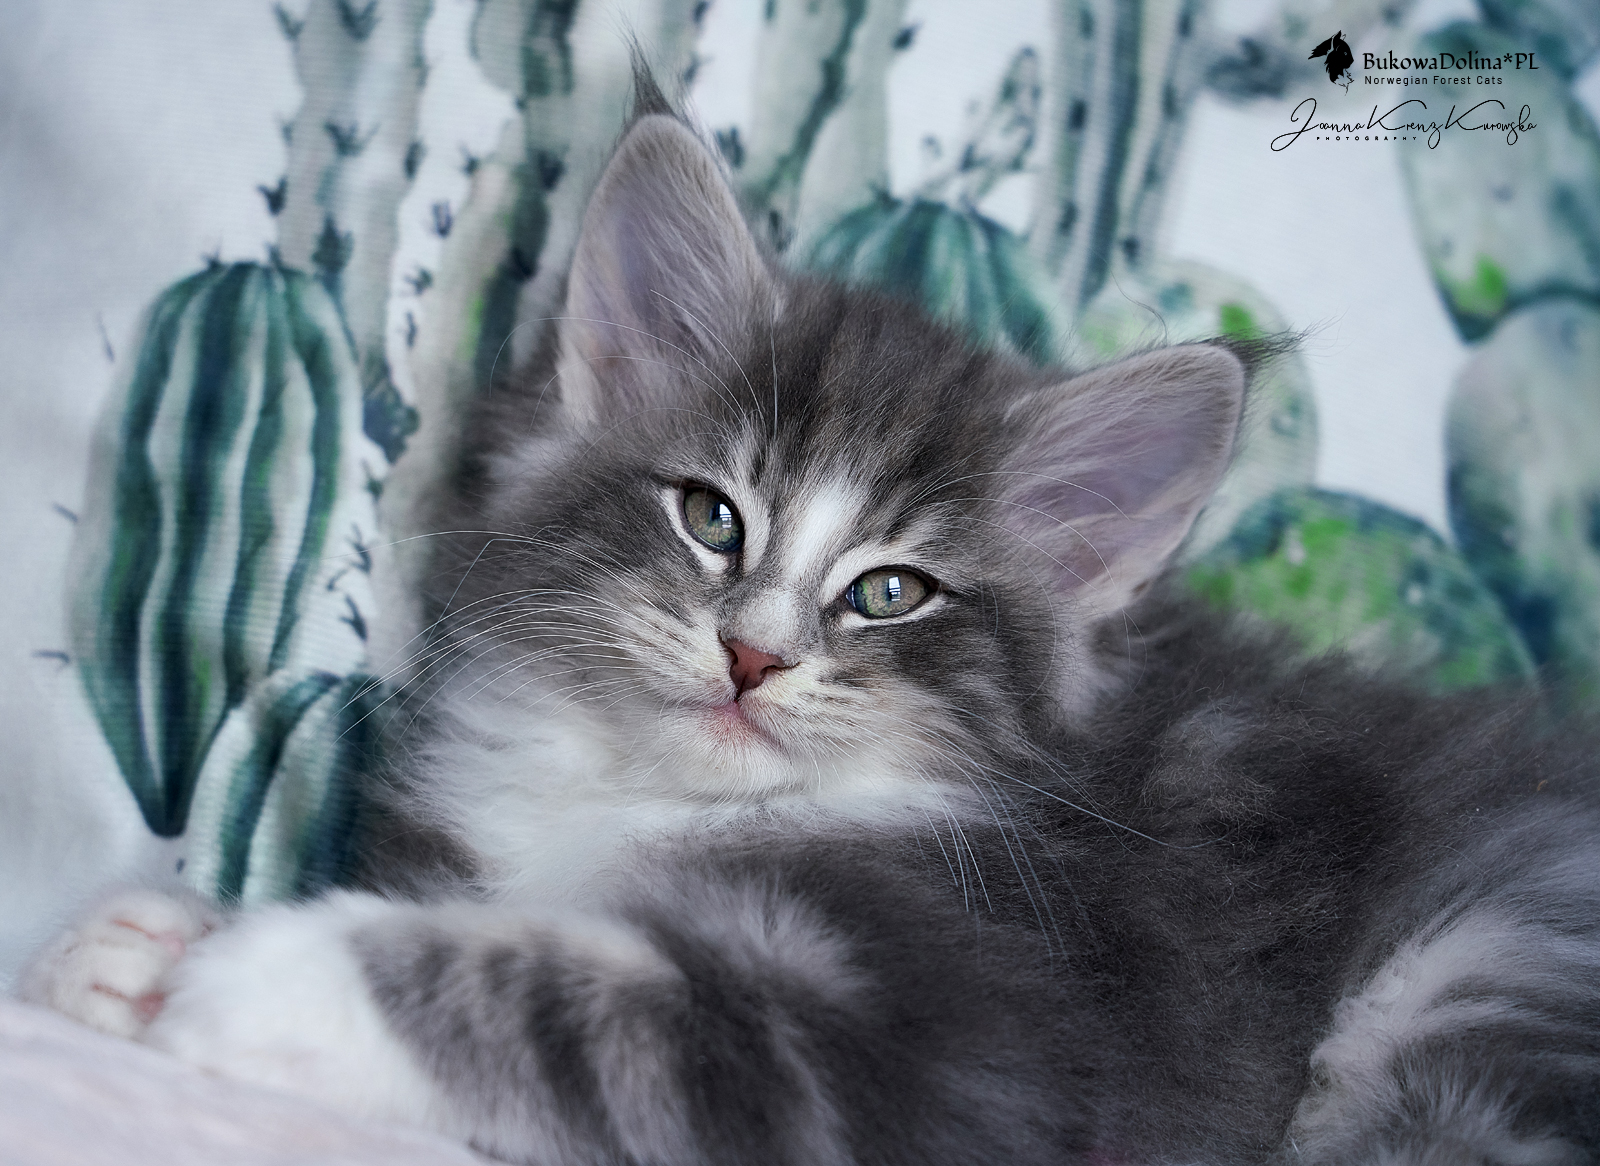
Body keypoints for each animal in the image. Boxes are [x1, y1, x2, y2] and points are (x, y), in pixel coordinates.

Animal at [19, 82, 1600, 1166]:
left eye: (891, 591)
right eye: (711, 515)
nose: (754, 653)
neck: (642, 801)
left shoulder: (962, 1036)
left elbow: (583, 1008)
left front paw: (248, 976)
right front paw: (145, 943)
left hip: (1494, 953)